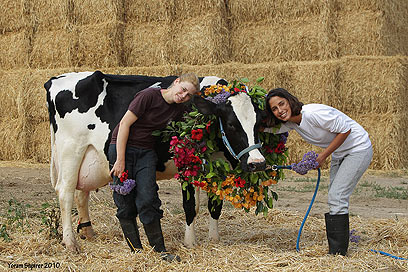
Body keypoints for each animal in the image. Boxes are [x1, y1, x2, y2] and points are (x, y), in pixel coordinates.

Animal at [44, 71, 266, 252]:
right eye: (231, 124)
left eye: (259, 123)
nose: (258, 163)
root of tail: (55, 79)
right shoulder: (186, 165)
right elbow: (189, 206)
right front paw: (190, 242)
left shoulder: (218, 169)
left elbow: (214, 206)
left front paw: (214, 240)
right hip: (70, 150)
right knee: (65, 192)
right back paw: (70, 242)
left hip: (88, 156)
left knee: (81, 194)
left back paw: (88, 233)